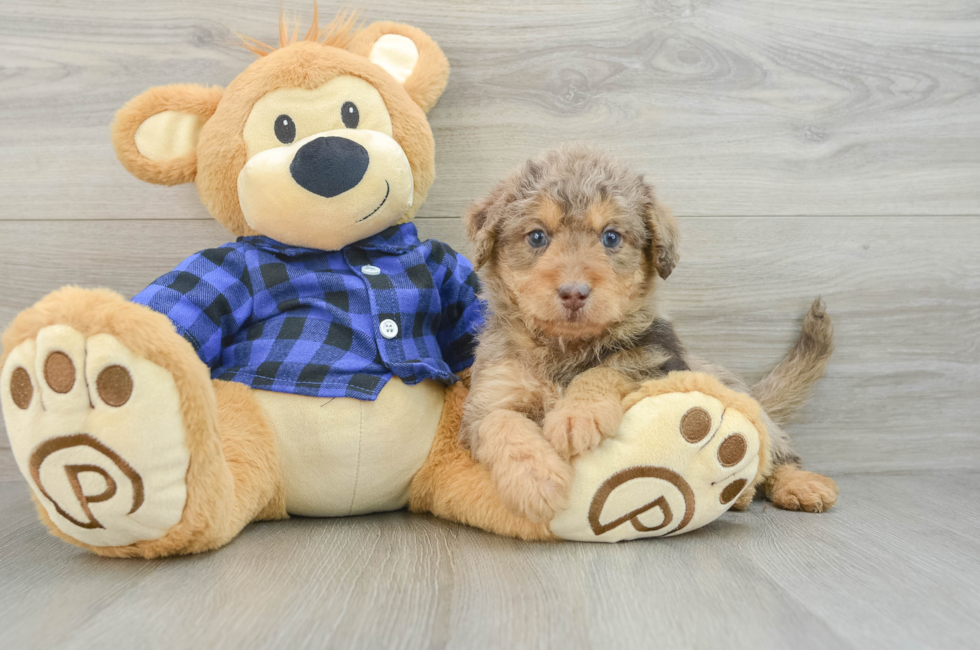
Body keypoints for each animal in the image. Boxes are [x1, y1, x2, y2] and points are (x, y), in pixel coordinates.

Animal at [464, 146, 840, 520]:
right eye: (537, 236)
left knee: (777, 453)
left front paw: (577, 416)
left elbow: (607, 369)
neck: (566, 349)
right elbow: (501, 423)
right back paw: (743, 496)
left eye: (611, 236)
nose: (574, 293)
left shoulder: (655, 365)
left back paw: (800, 485)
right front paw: (535, 481)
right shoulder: (488, 399)